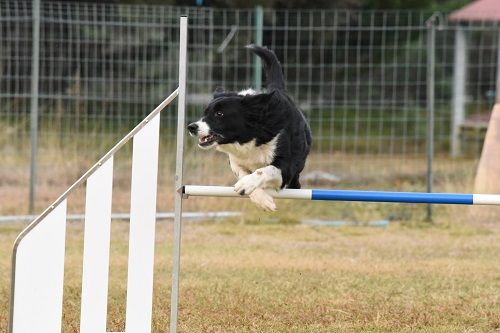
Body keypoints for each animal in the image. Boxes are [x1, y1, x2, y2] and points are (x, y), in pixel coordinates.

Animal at [188, 45, 312, 210]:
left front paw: (247, 185)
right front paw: (261, 198)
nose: (191, 127)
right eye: (205, 113)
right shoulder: (235, 162)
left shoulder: (286, 166)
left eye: (219, 114)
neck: (248, 137)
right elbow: (243, 174)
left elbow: (265, 170)